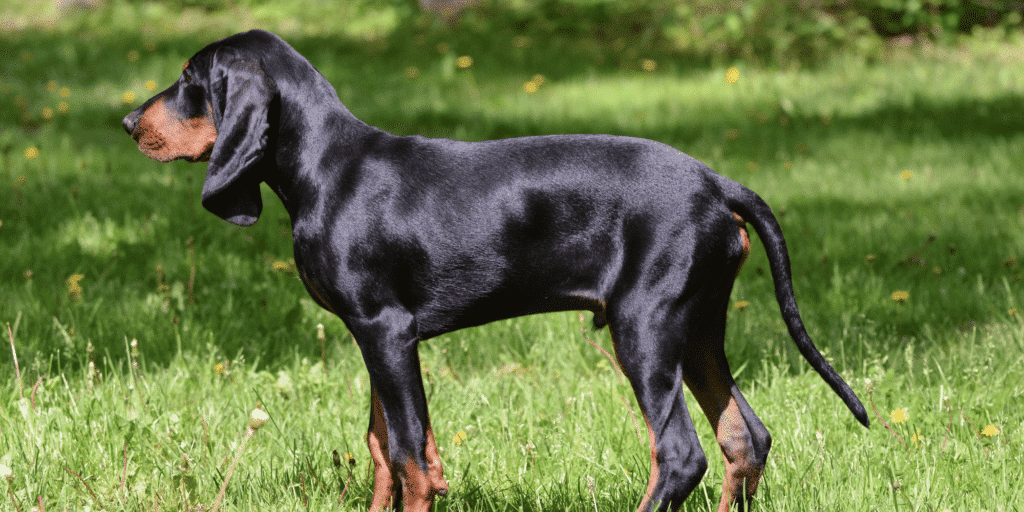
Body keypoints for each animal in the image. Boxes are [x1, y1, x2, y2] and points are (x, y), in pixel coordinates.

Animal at [123, 30, 868, 512]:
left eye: (191, 80)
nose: (129, 121)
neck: (328, 169)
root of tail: (717, 183)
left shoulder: (387, 330)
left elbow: (412, 460)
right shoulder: (372, 337)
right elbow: (383, 450)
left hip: (646, 327)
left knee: (681, 454)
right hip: (700, 327)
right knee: (745, 438)